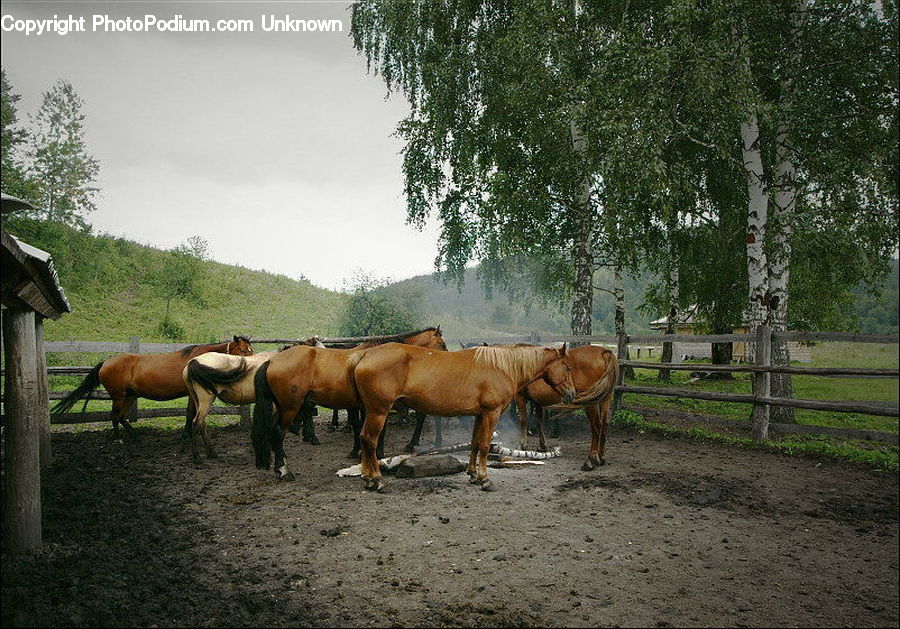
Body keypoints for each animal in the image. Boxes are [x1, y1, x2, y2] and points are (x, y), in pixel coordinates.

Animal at [52, 336, 254, 440]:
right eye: (244, 351)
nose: (253, 363)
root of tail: (106, 363)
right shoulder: (192, 394)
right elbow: (189, 414)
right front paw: (186, 435)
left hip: (130, 396)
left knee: (122, 416)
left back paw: (135, 435)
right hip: (119, 396)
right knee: (115, 416)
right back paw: (119, 438)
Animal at [182, 337, 324, 462]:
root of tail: (192, 362)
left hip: (197, 401)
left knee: (202, 424)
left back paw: (211, 453)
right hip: (205, 401)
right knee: (196, 423)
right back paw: (197, 457)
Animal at [251, 327, 447, 481]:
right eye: (442, 344)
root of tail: (271, 360)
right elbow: (372, 431)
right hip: (289, 407)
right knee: (278, 432)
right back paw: (284, 470)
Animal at [352, 343, 576, 492]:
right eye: (567, 367)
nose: (572, 394)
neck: (501, 367)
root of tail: (366, 353)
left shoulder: (479, 415)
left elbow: (475, 443)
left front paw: (473, 474)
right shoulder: (491, 413)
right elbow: (485, 445)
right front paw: (484, 479)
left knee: (363, 438)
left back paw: (367, 477)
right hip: (379, 412)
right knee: (370, 441)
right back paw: (376, 479)